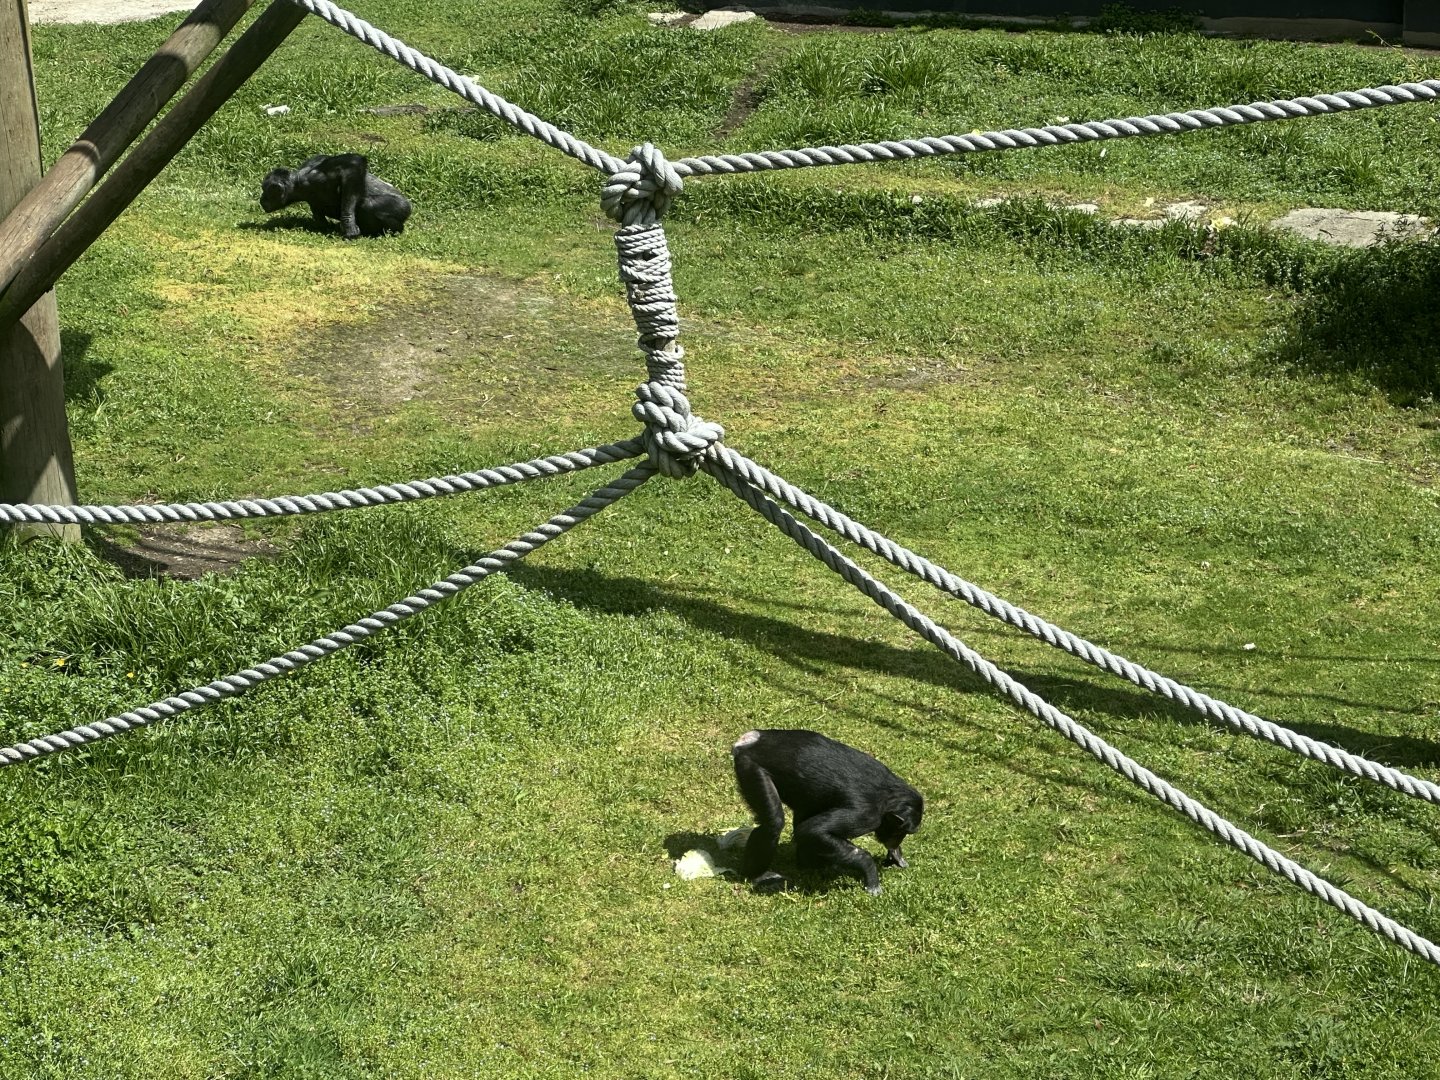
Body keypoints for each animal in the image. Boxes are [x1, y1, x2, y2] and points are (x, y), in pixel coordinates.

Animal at [259, 154, 411, 239]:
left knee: (367, 206)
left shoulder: (317, 176)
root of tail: (410, 207)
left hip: (400, 207)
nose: (261, 199)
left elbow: (352, 164)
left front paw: (349, 225)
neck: (299, 185)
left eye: (265, 190)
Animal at [731, 729, 924, 896]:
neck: (890, 798)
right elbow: (813, 830)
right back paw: (757, 875)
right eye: (903, 831)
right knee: (774, 823)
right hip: (751, 769)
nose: (897, 841)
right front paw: (870, 871)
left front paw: (895, 854)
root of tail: (749, 740)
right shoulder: (866, 816)